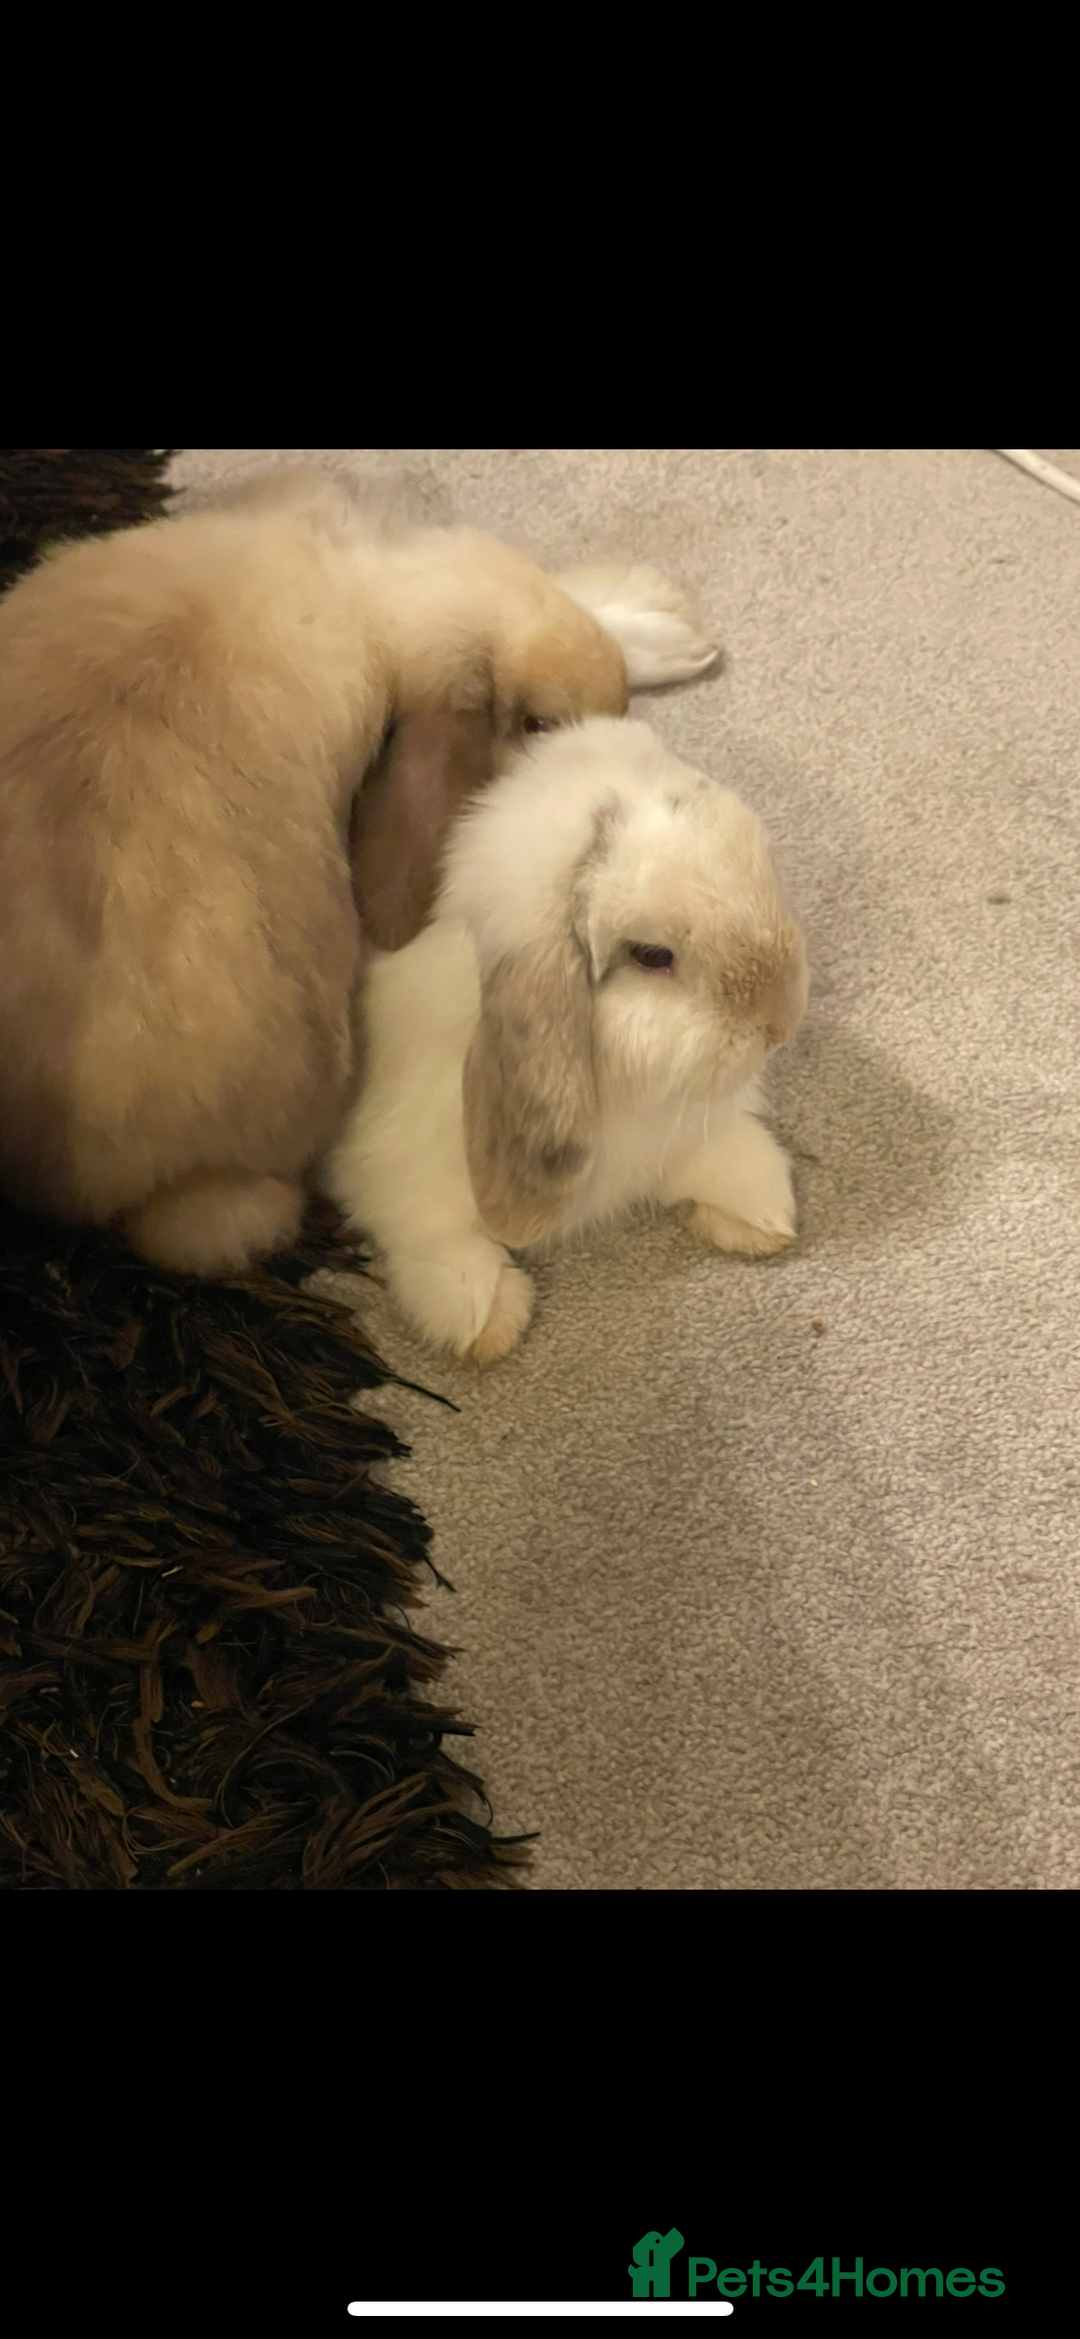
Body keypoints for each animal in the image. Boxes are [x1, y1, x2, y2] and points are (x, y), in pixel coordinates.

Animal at [323, 716, 810, 1363]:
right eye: (651, 955)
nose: (781, 1021)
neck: (622, 1095)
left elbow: (715, 1158)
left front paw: (759, 1213)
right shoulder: (396, 1169)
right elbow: (436, 1236)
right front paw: (487, 1320)